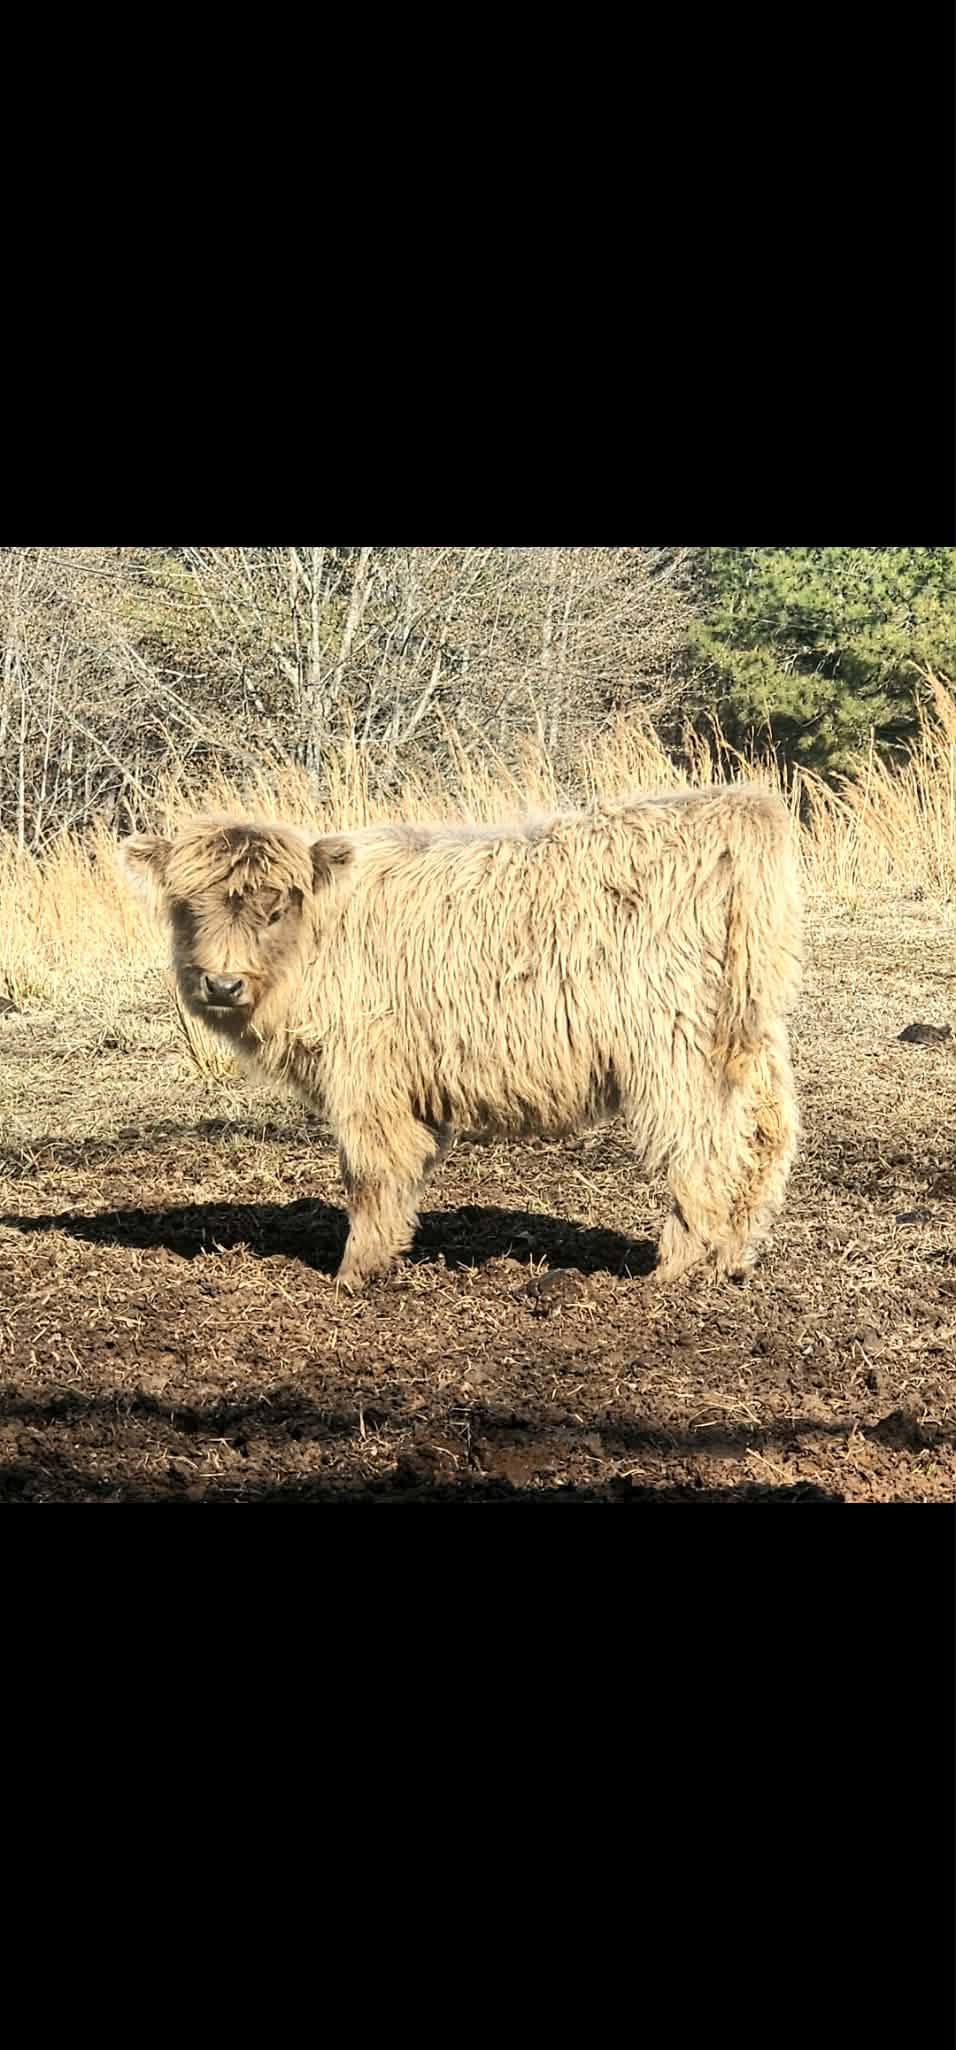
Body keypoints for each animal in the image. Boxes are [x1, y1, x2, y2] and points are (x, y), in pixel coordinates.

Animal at [119, 784, 802, 1292]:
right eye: (187, 908)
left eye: (275, 908)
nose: (222, 982)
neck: (319, 945)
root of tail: (732, 810)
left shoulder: (366, 1075)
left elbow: (369, 1172)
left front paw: (354, 1271)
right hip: (751, 1037)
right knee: (765, 1139)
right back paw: (732, 1257)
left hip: (672, 1048)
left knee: (702, 1147)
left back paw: (676, 1267)